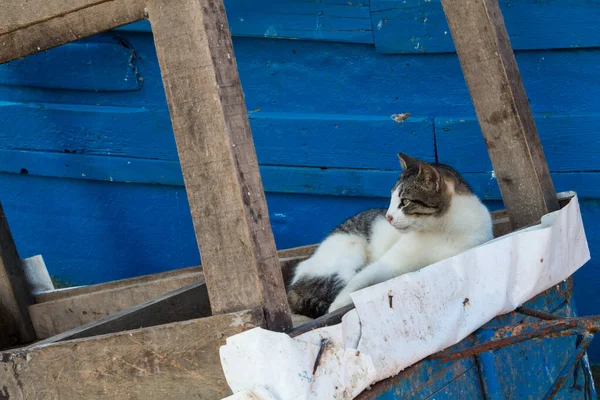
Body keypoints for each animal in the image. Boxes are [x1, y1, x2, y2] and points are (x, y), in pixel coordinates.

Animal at [286, 153, 492, 318]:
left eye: (405, 201)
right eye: (392, 199)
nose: (388, 216)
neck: (440, 230)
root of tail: (294, 282)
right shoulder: (388, 263)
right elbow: (357, 283)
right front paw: (337, 306)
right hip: (349, 253)